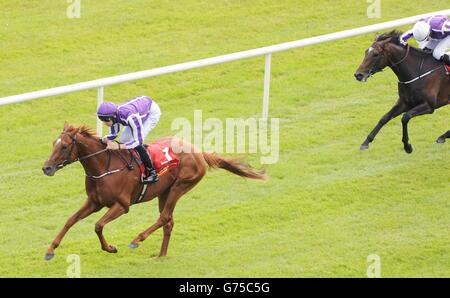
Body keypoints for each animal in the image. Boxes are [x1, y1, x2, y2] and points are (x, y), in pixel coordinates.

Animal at [41, 123, 268, 260]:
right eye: (53, 143)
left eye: (64, 147)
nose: (46, 168)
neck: (104, 167)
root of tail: (198, 152)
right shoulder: (94, 202)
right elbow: (70, 220)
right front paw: (50, 250)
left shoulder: (122, 205)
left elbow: (98, 226)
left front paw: (111, 248)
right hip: (164, 192)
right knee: (168, 221)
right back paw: (161, 255)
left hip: (180, 186)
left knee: (164, 217)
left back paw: (136, 240)